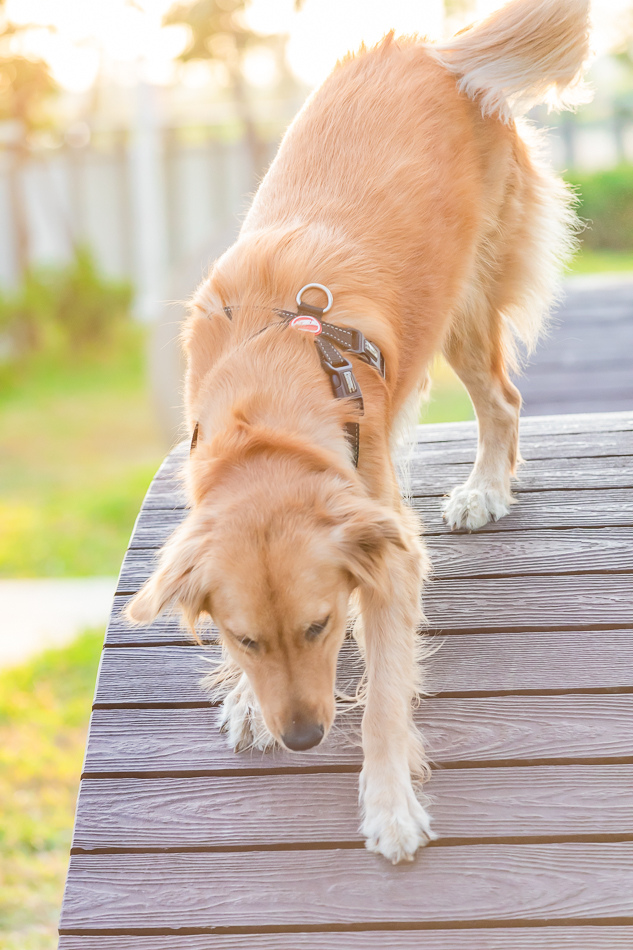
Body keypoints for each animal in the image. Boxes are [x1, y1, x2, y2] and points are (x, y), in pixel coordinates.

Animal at [128, 0, 592, 864]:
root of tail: (427, 47)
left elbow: (382, 698)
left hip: (465, 305)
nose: (304, 738)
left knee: (503, 400)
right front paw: (247, 701)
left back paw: (484, 489)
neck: (266, 405)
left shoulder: (390, 564)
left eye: (320, 625)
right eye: (242, 640)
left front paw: (387, 803)